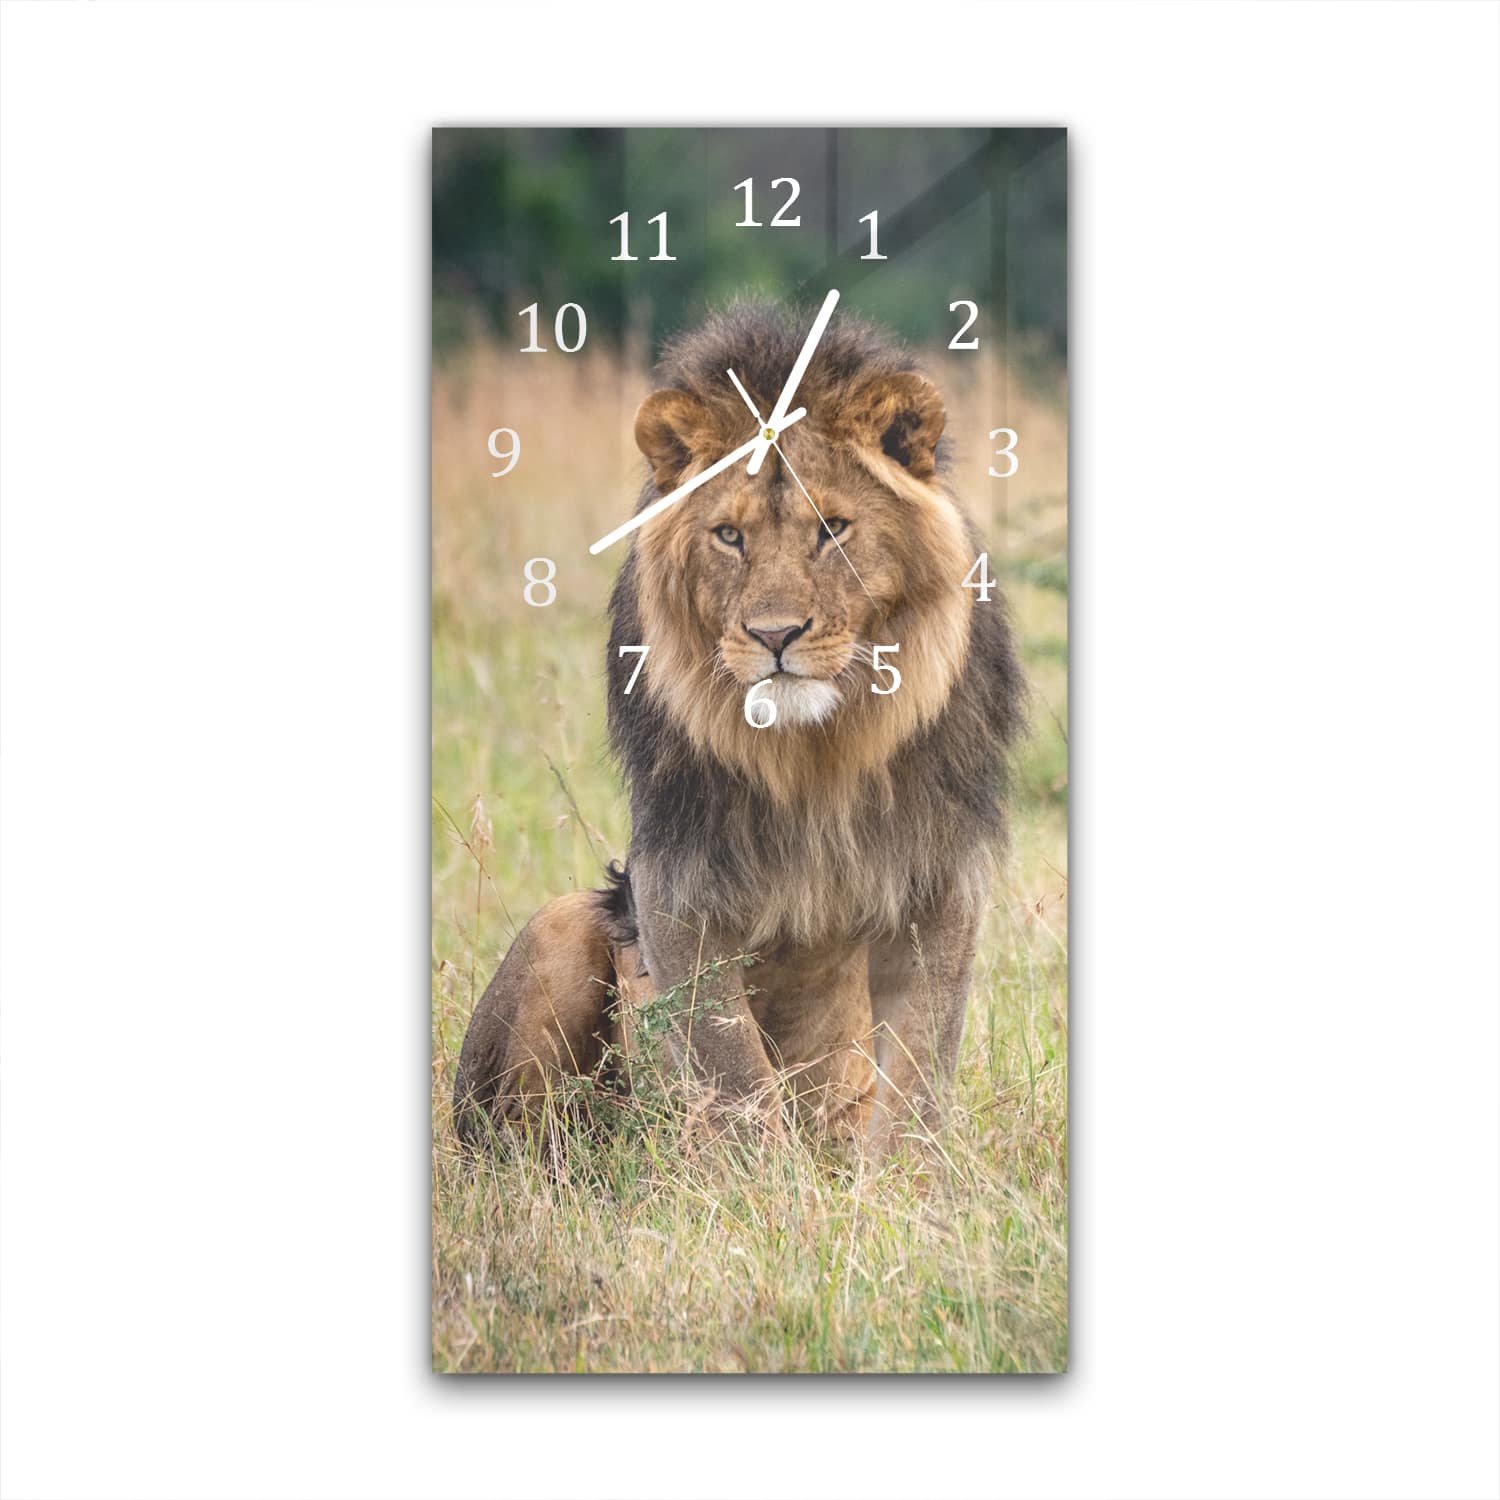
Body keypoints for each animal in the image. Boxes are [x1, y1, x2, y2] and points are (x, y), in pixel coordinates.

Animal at [453, 300, 1024, 1156]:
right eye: (729, 535)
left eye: (833, 528)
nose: (775, 635)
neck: (816, 754)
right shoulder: (679, 884)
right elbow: (733, 1073)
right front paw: (764, 1180)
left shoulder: (941, 880)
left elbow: (917, 1075)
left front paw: (897, 1182)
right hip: (561, 932)